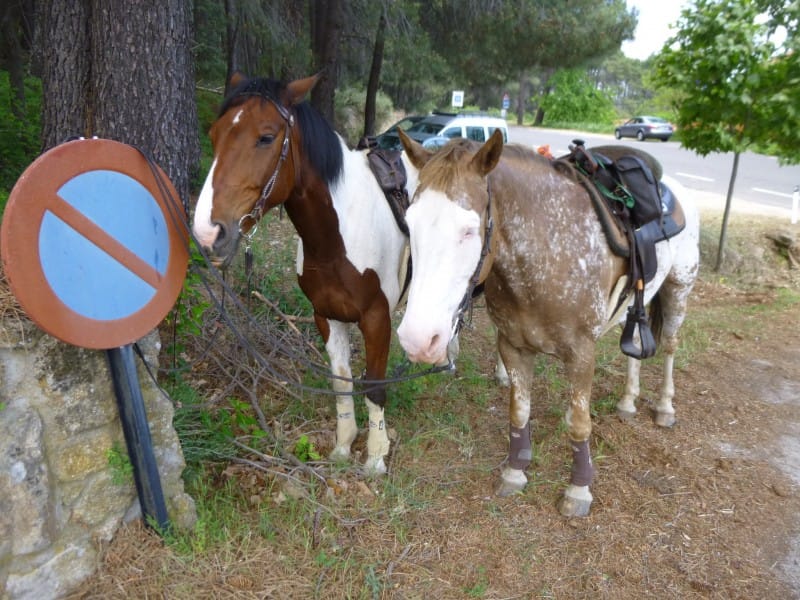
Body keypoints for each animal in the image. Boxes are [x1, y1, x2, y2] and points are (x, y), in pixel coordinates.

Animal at [192, 75, 418, 476]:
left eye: (266, 137)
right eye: (215, 134)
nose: (208, 232)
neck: (336, 238)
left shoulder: (376, 318)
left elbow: (374, 385)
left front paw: (376, 456)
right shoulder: (325, 316)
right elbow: (342, 381)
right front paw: (344, 445)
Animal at [396, 131, 696, 516]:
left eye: (468, 231)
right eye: (409, 223)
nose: (418, 339)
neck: (548, 254)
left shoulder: (582, 354)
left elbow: (580, 423)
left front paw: (579, 489)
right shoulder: (512, 346)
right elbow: (519, 412)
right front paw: (515, 471)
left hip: (678, 288)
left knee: (670, 346)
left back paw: (664, 407)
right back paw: (628, 400)